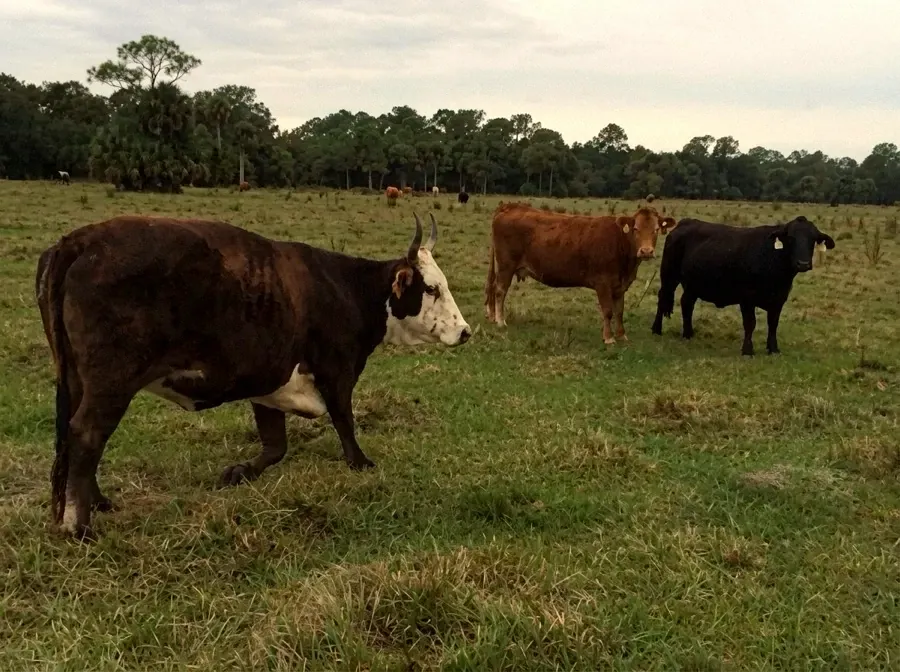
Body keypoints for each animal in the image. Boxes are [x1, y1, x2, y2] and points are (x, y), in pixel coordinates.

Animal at [35, 212, 471, 539]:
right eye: (431, 289)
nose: (465, 331)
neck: (347, 290)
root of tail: (82, 241)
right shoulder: (336, 373)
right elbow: (345, 423)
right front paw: (360, 462)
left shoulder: (270, 382)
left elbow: (275, 446)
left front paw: (240, 472)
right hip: (111, 384)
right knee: (87, 434)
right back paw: (80, 525)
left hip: (77, 381)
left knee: (72, 435)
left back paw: (98, 502)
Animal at [484, 202, 676, 343]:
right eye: (636, 229)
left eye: (656, 229)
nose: (646, 251)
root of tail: (511, 207)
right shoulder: (603, 284)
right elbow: (608, 311)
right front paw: (609, 338)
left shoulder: (620, 286)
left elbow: (619, 311)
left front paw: (622, 335)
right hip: (506, 266)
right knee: (500, 291)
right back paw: (500, 321)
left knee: (493, 289)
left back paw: (493, 317)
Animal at [650, 216, 836, 356]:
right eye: (791, 238)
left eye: (813, 240)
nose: (803, 263)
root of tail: (685, 222)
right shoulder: (747, 298)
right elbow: (750, 323)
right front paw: (748, 350)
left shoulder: (779, 299)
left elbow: (773, 324)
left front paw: (773, 348)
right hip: (669, 275)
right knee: (663, 298)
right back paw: (656, 329)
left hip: (692, 284)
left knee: (686, 303)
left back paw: (688, 333)